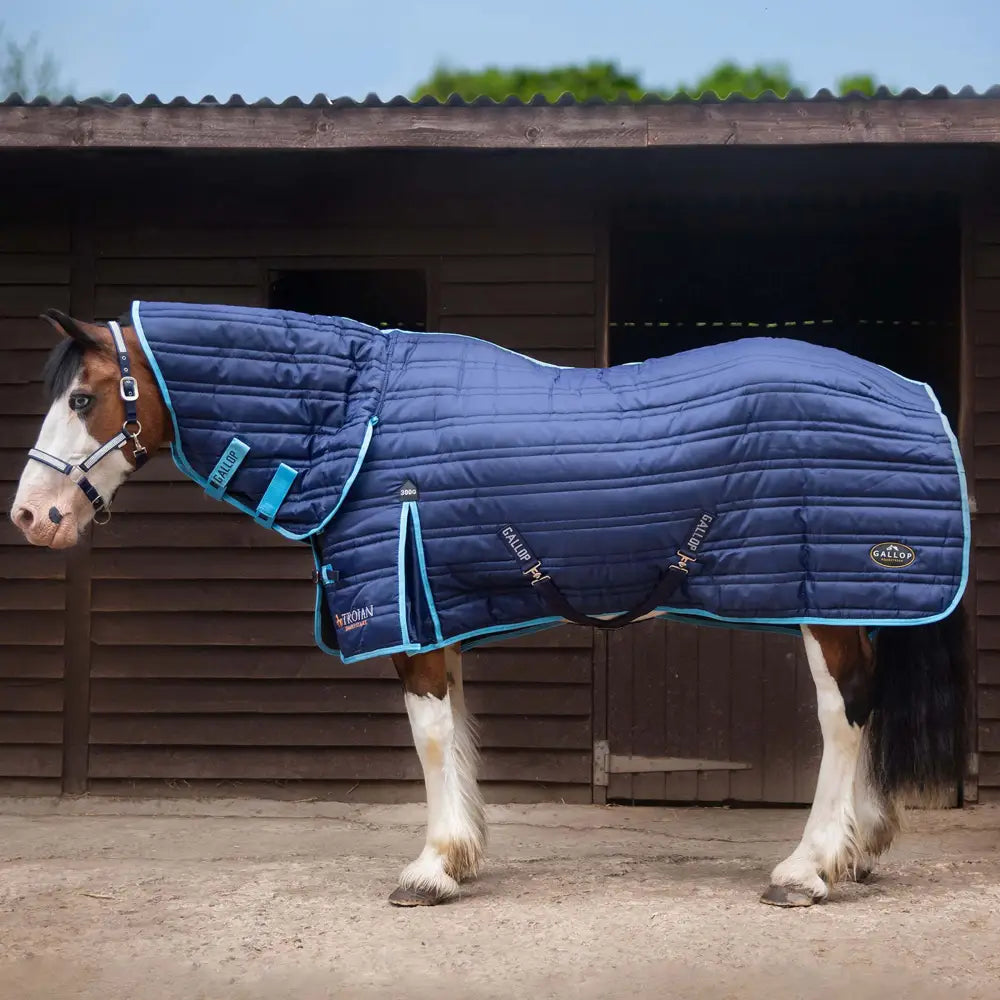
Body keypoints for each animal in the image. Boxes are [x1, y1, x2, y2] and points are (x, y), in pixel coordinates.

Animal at [10, 305, 968, 909]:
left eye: (83, 398)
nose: (31, 517)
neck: (356, 419)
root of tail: (915, 394)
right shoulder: (434, 601)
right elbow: (456, 732)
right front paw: (460, 855)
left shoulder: (406, 614)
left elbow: (431, 736)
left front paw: (432, 870)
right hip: (856, 597)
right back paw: (856, 851)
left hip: (826, 598)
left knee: (844, 716)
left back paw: (808, 870)